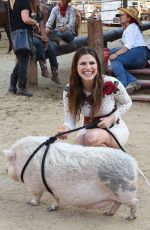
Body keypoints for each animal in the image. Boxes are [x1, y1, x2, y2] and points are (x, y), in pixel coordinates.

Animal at [3, 136, 141, 220]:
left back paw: (130, 218)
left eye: (9, 160)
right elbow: (55, 198)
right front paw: (51, 208)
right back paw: (107, 213)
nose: (5, 169)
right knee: (117, 204)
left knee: (135, 201)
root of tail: (134, 164)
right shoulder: (52, 187)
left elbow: (37, 196)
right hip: (118, 194)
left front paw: (30, 203)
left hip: (124, 192)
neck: (22, 159)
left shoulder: (33, 184)